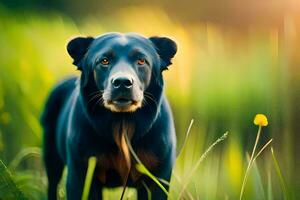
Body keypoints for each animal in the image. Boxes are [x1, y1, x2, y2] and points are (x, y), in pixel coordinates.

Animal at [41, 32, 177, 199]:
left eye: (141, 61)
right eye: (104, 61)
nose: (122, 82)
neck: (122, 123)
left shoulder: (157, 178)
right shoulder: (80, 174)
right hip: (51, 157)